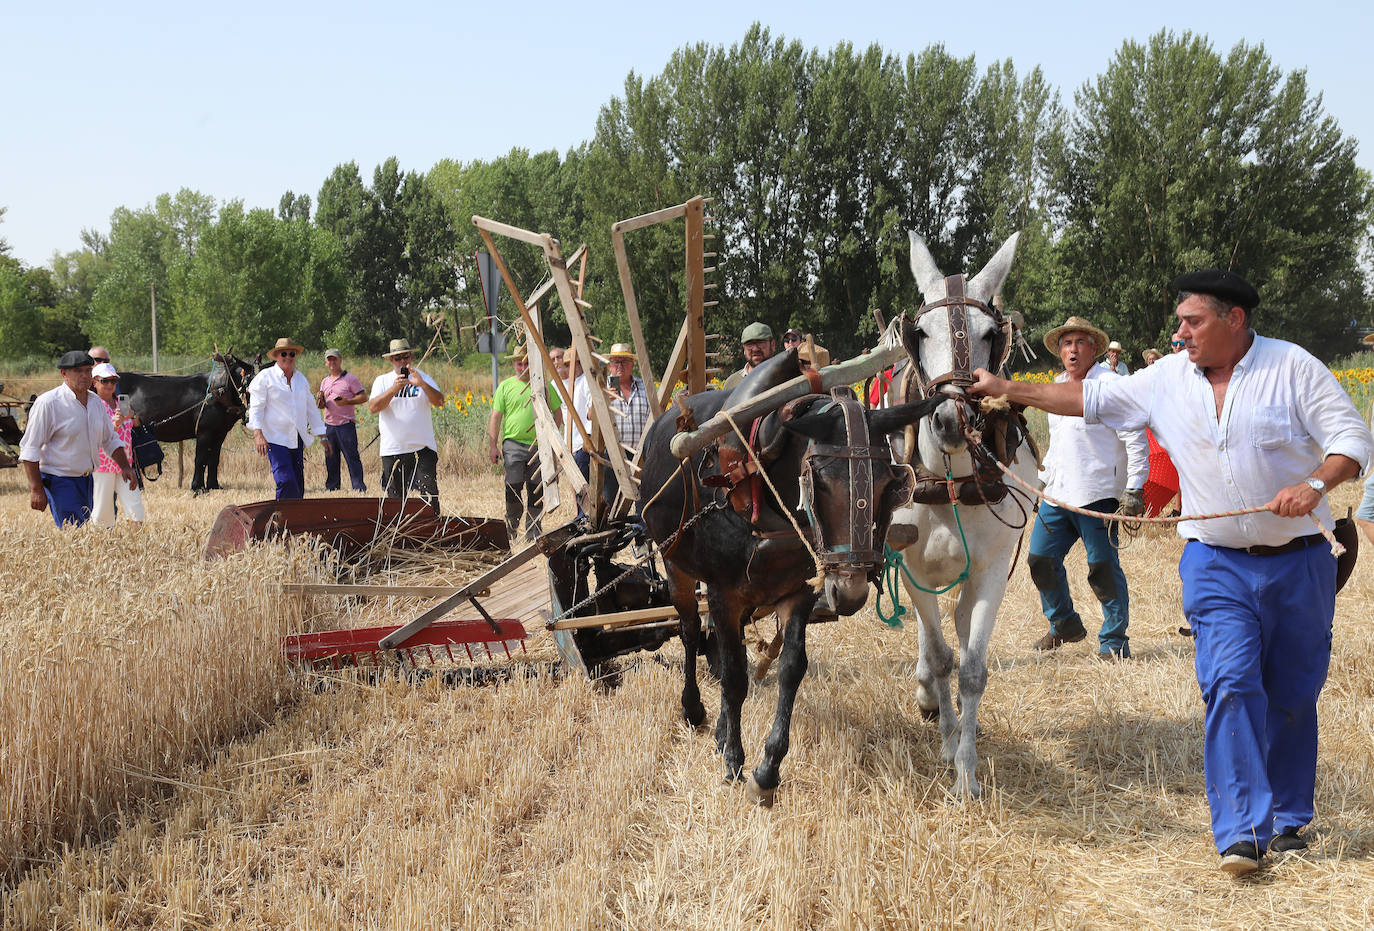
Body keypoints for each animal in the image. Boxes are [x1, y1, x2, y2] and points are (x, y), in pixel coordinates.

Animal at [123, 350, 258, 497]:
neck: (218, 392)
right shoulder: (204, 432)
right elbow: (200, 459)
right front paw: (198, 487)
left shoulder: (220, 433)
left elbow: (214, 459)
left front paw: (214, 486)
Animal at [634, 346, 945, 807]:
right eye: (820, 482)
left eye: (891, 484)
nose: (850, 591)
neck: (758, 484)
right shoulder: (724, 594)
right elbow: (735, 677)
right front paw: (734, 757)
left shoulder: (797, 592)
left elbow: (789, 669)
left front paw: (767, 768)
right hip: (676, 565)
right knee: (690, 631)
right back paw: (693, 709)